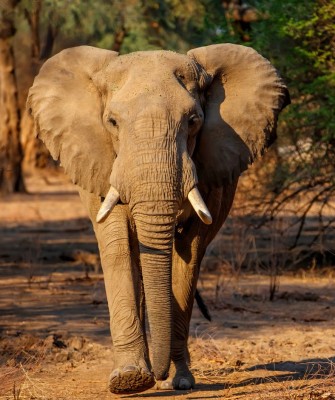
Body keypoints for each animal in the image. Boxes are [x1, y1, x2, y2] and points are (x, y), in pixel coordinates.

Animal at [26, 43, 288, 394]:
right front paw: (129, 380)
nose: (159, 376)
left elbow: (189, 253)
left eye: (193, 121)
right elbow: (118, 243)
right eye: (112, 122)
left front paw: (180, 381)